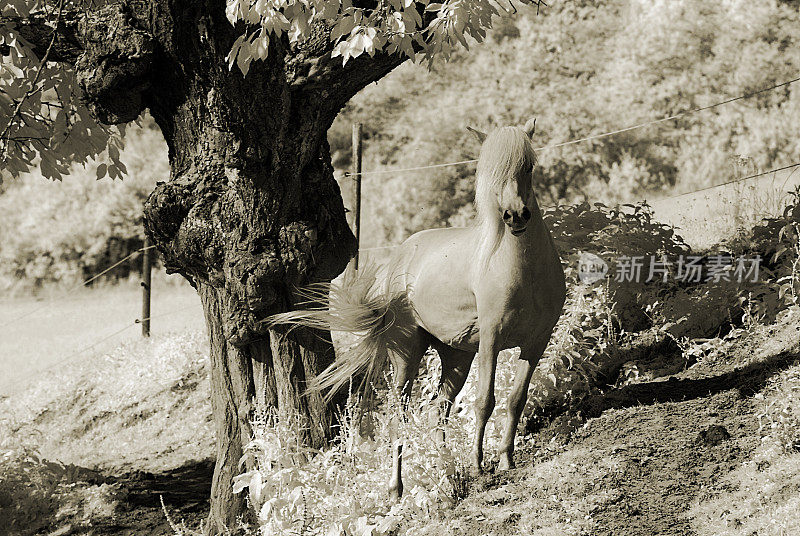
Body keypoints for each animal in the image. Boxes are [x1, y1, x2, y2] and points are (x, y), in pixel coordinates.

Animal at [270, 119, 568, 500]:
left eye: (528, 166)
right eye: (489, 171)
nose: (515, 216)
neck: (520, 269)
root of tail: (401, 255)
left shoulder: (536, 342)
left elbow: (516, 399)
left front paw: (505, 460)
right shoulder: (492, 340)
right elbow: (485, 401)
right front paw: (478, 466)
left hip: (457, 356)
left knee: (437, 410)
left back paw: (448, 471)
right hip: (407, 356)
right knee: (401, 415)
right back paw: (397, 488)